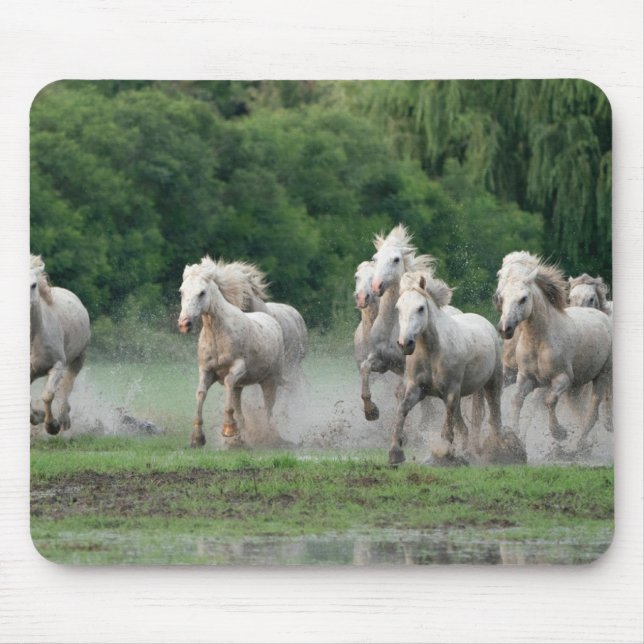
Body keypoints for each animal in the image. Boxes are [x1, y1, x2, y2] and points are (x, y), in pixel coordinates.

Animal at [30, 255, 90, 435]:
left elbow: (48, 395)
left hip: (79, 358)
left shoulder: (57, 365)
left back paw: (63, 420)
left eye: (33, 285)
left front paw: (52, 426)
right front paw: (39, 416)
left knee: (66, 387)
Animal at [178, 260, 285, 448]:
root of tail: (272, 321)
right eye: (181, 291)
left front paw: (228, 429)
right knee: (241, 407)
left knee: (268, 409)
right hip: (240, 386)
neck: (217, 333)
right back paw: (241, 440)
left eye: (202, 292)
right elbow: (200, 393)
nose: (184, 324)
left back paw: (269, 438)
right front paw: (197, 438)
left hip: (270, 380)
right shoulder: (206, 371)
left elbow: (227, 382)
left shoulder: (237, 368)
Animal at [390, 271, 505, 465]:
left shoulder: (451, 393)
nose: (405, 343)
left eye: (421, 308)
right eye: (398, 308)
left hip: (492, 383)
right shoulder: (417, 389)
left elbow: (447, 427)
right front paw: (395, 453)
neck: (432, 352)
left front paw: (442, 454)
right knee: (467, 427)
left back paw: (499, 452)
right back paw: (467, 453)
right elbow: (402, 410)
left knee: (495, 417)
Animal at [496, 259, 612, 448]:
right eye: (503, 297)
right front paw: (515, 438)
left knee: (593, 411)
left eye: (523, 299)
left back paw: (580, 445)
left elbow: (549, 401)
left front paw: (559, 433)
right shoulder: (526, 379)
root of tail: (601, 315)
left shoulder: (562, 379)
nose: (505, 328)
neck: (539, 341)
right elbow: (517, 400)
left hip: (602, 375)